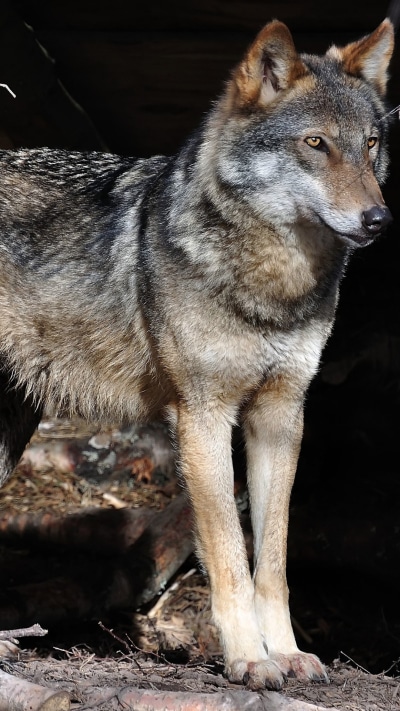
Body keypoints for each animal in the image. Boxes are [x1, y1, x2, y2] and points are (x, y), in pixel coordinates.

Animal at [0, 18, 394, 689]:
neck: (271, 289)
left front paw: (286, 652)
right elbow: (231, 556)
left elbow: (274, 561)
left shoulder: (281, 416)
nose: (378, 219)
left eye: (370, 146)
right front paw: (248, 658)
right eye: (316, 144)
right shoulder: (202, 416)